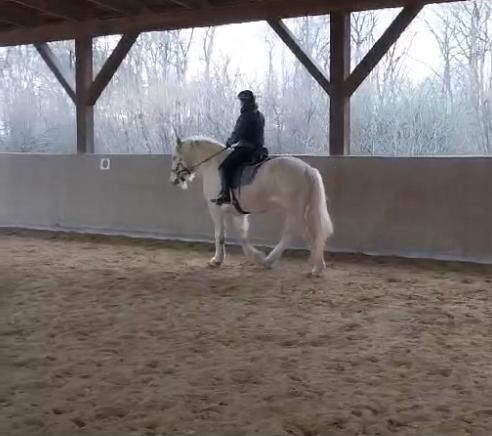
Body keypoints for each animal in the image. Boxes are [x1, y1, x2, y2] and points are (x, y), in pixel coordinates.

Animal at [170, 135, 334, 274]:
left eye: (174, 157)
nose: (172, 180)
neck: (213, 165)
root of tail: (308, 170)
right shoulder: (238, 213)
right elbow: (242, 236)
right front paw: (255, 255)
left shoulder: (215, 209)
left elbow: (220, 235)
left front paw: (217, 260)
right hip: (301, 210)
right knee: (310, 233)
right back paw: (318, 266)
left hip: (294, 209)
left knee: (292, 232)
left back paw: (269, 260)